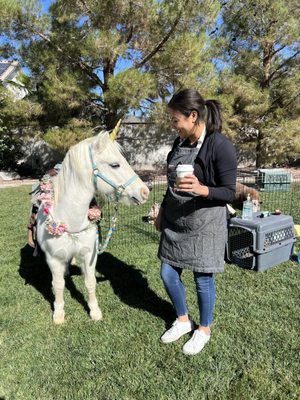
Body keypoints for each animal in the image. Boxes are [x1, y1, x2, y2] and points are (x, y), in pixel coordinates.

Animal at [36, 126, 149, 324]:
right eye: (115, 165)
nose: (145, 192)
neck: (70, 219)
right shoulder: (54, 259)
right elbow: (57, 285)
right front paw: (59, 314)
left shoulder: (90, 255)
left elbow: (90, 283)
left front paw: (94, 311)